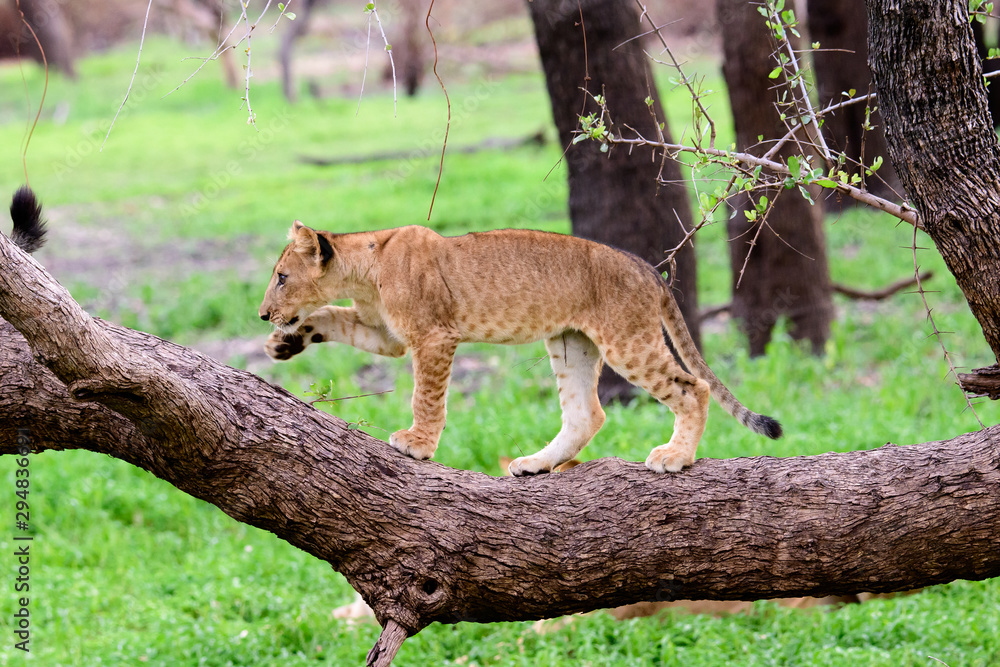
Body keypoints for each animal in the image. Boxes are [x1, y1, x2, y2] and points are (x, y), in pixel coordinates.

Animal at [258, 221, 781, 475]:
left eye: (281, 277)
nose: (263, 315)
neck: (364, 272)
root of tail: (645, 267)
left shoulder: (433, 336)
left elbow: (426, 397)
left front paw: (418, 445)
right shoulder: (384, 334)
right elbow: (329, 317)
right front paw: (284, 342)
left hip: (627, 340)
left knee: (693, 388)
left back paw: (676, 456)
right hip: (571, 342)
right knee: (586, 414)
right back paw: (534, 465)